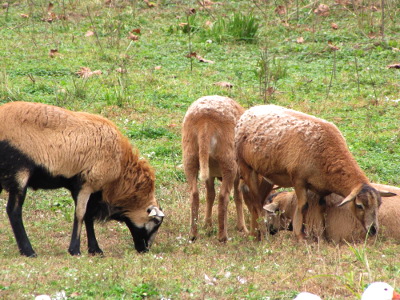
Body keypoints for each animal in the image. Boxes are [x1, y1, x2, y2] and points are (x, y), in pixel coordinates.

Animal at [0, 102, 164, 256]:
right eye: (156, 222)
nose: (145, 249)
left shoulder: (85, 188)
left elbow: (88, 216)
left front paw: (95, 249)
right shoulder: (86, 184)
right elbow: (80, 214)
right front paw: (75, 250)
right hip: (18, 172)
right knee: (14, 211)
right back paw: (28, 251)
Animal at [182, 95, 250, 241]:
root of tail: (205, 121)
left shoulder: (210, 173)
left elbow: (210, 195)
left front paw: (207, 225)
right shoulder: (238, 173)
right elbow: (238, 196)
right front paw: (242, 227)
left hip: (190, 157)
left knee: (194, 194)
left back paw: (193, 234)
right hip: (229, 162)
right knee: (223, 196)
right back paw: (222, 236)